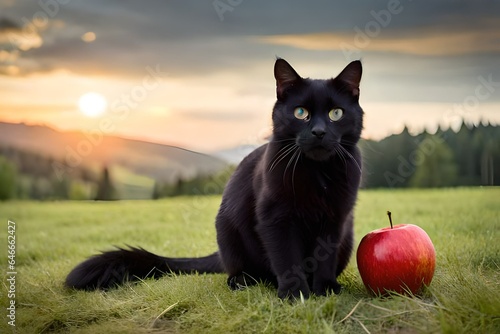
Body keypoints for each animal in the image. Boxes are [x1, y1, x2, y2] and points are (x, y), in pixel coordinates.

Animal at [65, 58, 364, 300]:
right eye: (300, 112)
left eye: (336, 113)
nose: (318, 132)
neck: (317, 174)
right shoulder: (275, 218)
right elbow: (287, 257)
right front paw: (294, 294)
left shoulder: (335, 219)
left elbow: (323, 258)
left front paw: (325, 289)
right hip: (228, 230)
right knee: (243, 269)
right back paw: (242, 281)